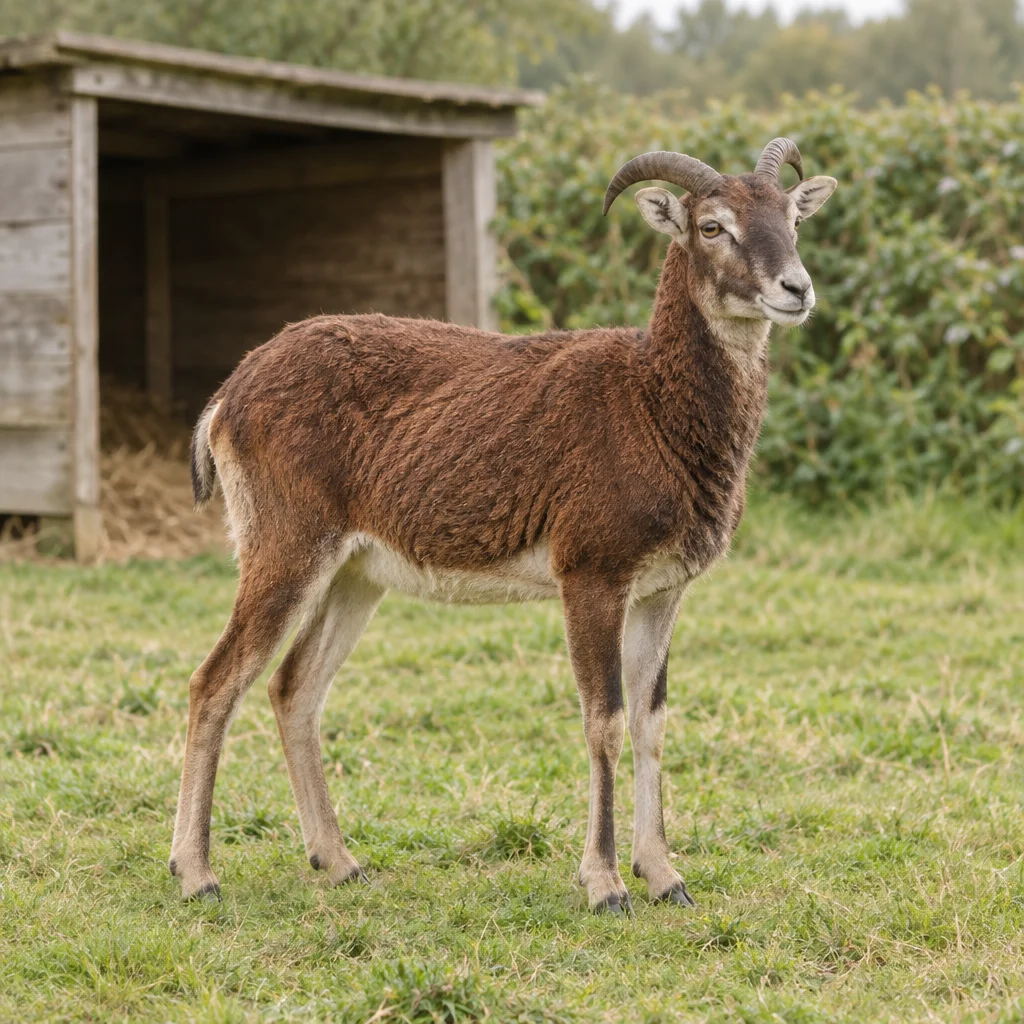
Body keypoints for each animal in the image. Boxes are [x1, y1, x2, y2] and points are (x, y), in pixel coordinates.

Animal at [170, 138, 837, 914]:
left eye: (793, 216)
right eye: (711, 226)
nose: (796, 288)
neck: (648, 405)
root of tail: (228, 397)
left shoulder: (662, 591)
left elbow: (651, 722)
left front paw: (667, 876)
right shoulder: (591, 576)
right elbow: (604, 721)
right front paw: (605, 885)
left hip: (354, 574)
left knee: (295, 688)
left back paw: (339, 861)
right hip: (285, 548)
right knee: (215, 683)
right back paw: (196, 873)